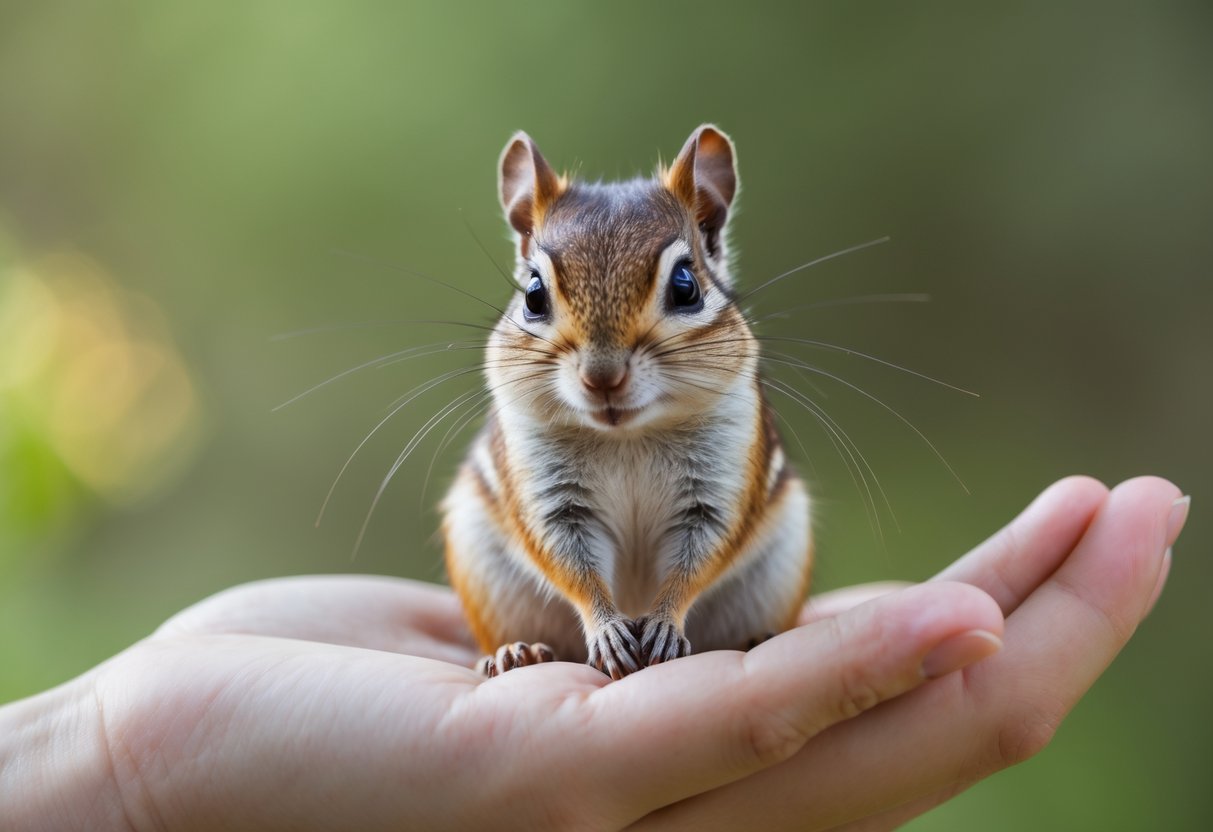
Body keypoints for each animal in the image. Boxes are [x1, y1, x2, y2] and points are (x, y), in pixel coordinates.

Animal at [441, 125, 812, 680]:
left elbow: (695, 559)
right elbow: (572, 565)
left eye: (686, 285)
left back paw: (756, 638)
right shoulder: (552, 498)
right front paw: (609, 631)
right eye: (533, 294)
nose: (603, 377)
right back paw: (514, 654)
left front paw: (661, 624)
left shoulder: (716, 487)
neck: (628, 436)